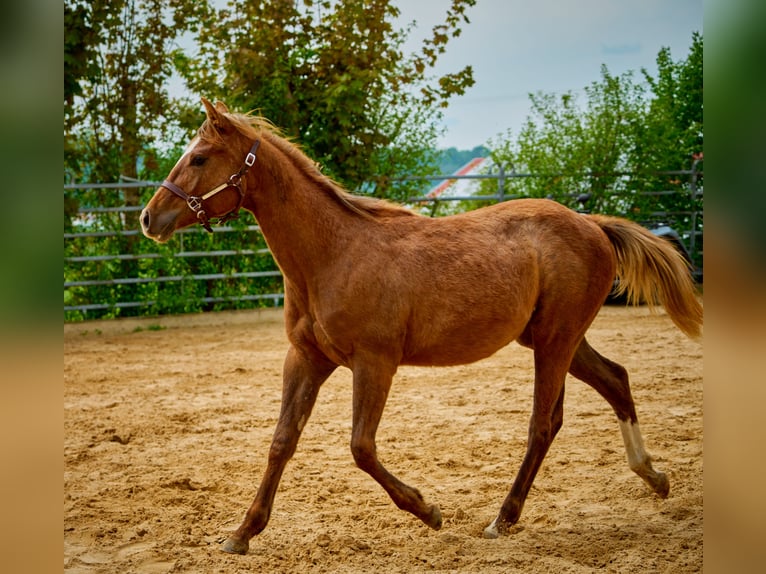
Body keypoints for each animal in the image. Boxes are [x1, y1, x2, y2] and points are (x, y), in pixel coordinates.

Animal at [140, 98, 703, 555]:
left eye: (199, 158)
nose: (149, 218)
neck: (333, 254)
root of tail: (593, 223)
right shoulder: (306, 359)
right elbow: (283, 441)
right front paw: (241, 533)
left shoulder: (375, 363)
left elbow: (361, 448)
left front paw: (429, 511)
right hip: (555, 339)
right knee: (615, 381)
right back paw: (654, 477)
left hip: (555, 340)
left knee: (543, 424)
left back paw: (502, 520)